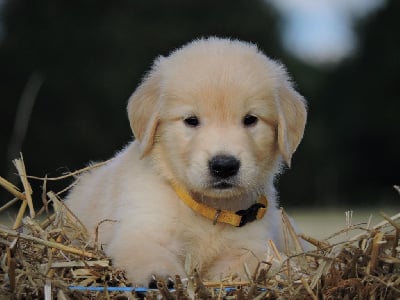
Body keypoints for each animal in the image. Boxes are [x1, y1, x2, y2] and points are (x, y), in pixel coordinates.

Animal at [67, 37, 308, 286]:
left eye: (250, 119)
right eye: (191, 120)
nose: (224, 166)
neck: (209, 208)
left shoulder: (250, 243)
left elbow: (251, 262)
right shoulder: (140, 230)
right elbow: (150, 254)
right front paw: (161, 277)